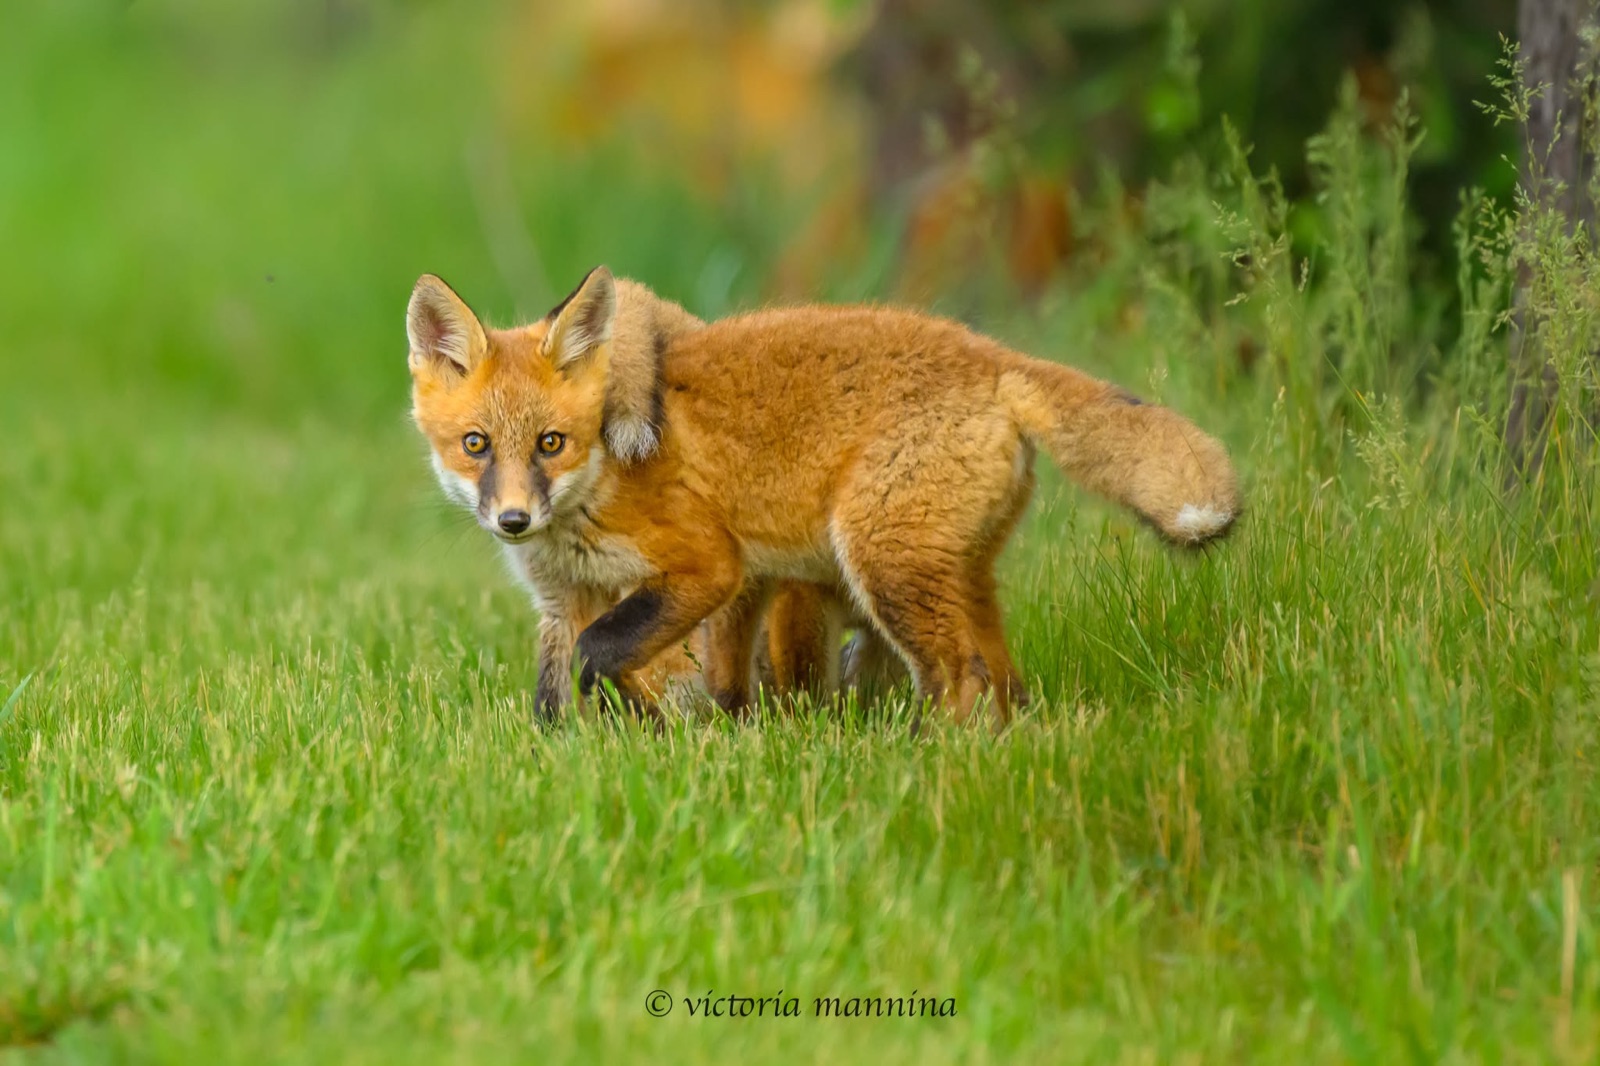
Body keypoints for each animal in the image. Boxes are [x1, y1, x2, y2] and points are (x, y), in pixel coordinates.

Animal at [408, 266, 1240, 724]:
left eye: (551, 443)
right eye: (476, 445)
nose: (514, 519)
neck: (593, 490)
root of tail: (991, 353)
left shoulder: (708, 564)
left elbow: (603, 656)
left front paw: (651, 731)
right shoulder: (563, 598)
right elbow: (555, 699)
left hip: (880, 565)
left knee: (956, 677)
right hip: (952, 572)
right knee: (1000, 679)